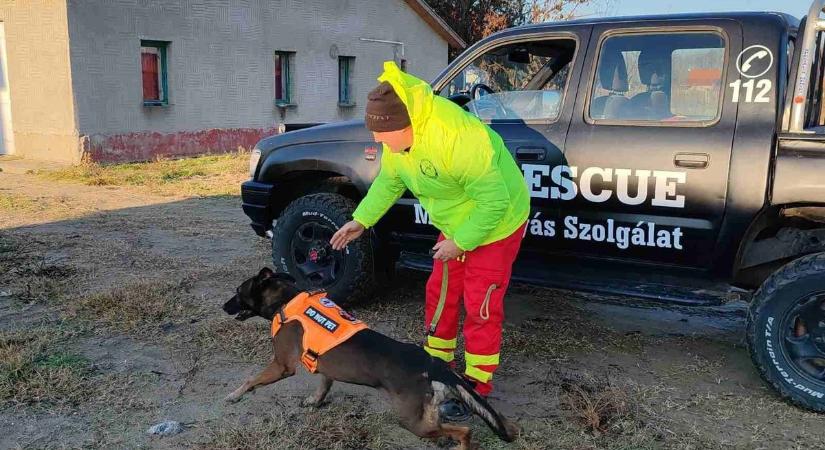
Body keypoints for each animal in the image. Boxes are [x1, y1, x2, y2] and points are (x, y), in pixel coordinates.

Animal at [219, 268, 516, 448]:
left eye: (238, 292)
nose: (223, 306)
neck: (286, 301)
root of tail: (431, 363)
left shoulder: (282, 366)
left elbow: (250, 379)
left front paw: (234, 394)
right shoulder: (324, 364)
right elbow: (324, 383)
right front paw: (316, 400)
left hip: (415, 422)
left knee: (465, 431)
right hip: (425, 418)